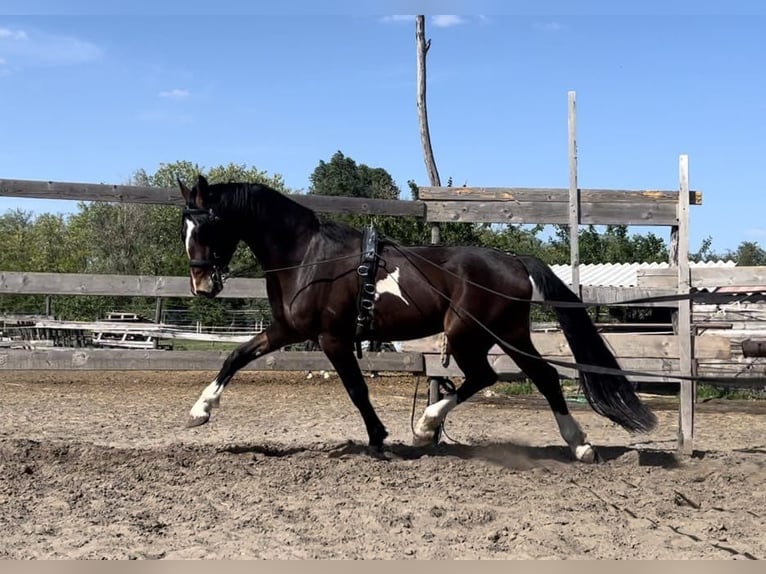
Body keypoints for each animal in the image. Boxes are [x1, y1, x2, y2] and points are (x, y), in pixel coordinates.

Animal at [178, 175, 657, 463]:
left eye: (206, 225)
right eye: (185, 226)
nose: (202, 285)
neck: (309, 256)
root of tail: (514, 261)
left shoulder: (332, 338)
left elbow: (357, 389)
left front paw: (378, 440)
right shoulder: (289, 330)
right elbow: (237, 356)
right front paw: (200, 411)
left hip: (468, 335)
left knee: (488, 377)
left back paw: (427, 428)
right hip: (506, 333)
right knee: (542, 376)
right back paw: (579, 445)